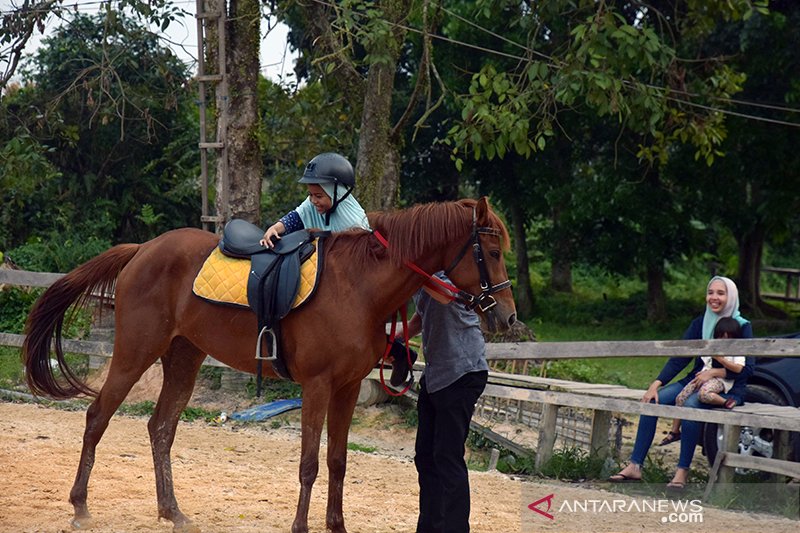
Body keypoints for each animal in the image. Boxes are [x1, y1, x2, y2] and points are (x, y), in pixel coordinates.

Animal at [23, 196, 520, 532]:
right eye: (493, 253)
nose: (507, 317)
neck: (358, 286)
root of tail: (143, 249)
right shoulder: (317, 386)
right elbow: (310, 463)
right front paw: (301, 527)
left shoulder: (347, 389)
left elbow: (338, 461)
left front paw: (336, 525)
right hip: (133, 354)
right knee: (97, 417)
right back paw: (80, 506)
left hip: (183, 358)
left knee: (160, 428)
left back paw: (173, 511)